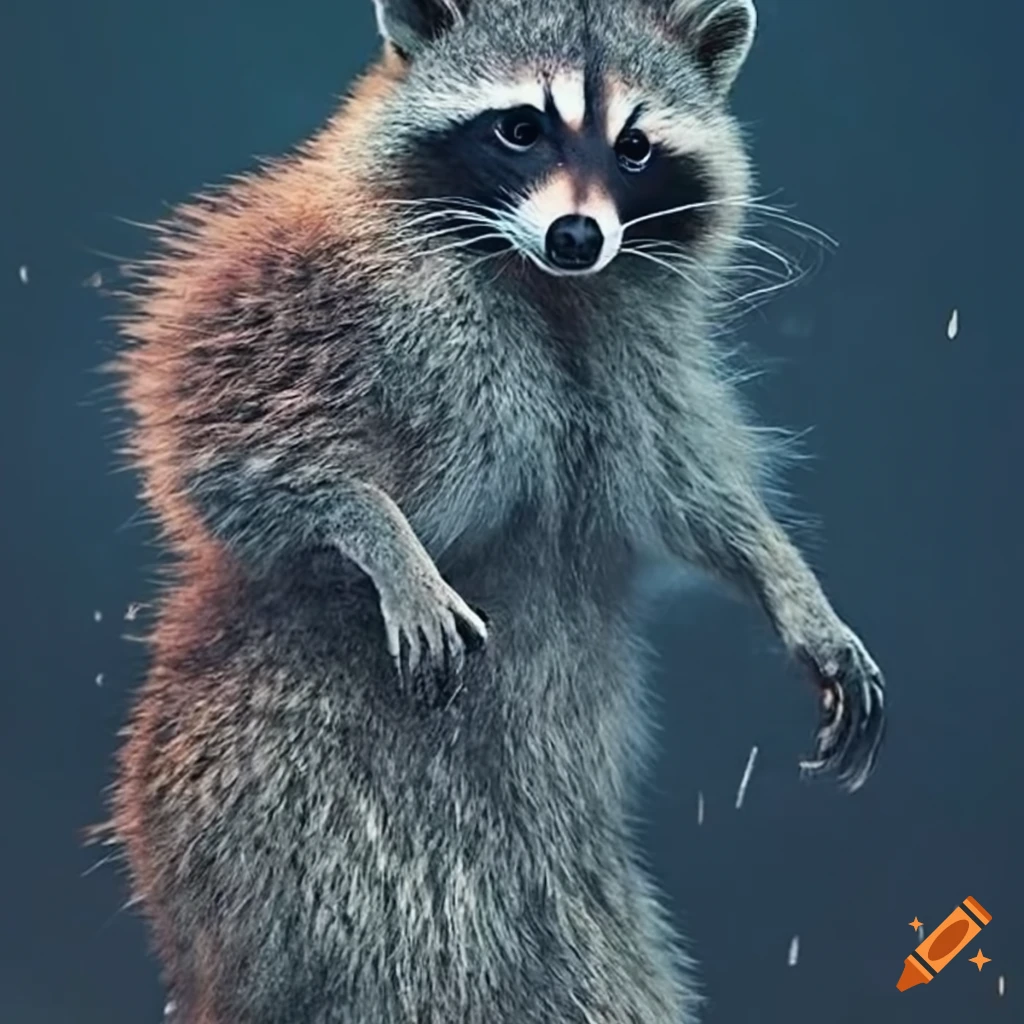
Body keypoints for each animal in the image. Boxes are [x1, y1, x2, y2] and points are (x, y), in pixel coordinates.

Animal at [107, 1, 886, 1021]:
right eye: (520, 128)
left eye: (635, 147)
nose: (576, 236)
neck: (547, 285)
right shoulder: (305, 280)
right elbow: (219, 449)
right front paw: (375, 528)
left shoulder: (643, 363)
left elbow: (693, 493)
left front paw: (791, 586)